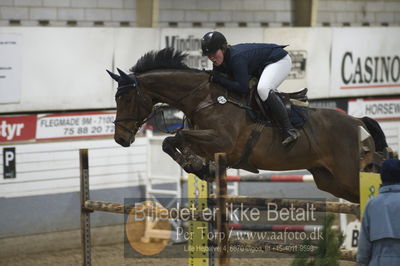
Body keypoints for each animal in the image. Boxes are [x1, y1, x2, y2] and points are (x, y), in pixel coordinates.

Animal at [108, 47, 390, 203]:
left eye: (126, 98)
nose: (120, 139)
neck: (203, 98)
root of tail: (355, 120)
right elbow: (173, 142)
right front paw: (198, 167)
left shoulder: (221, 140)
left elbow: (175, 138)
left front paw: (195, 165)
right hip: (330, 180)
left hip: (348, 175)